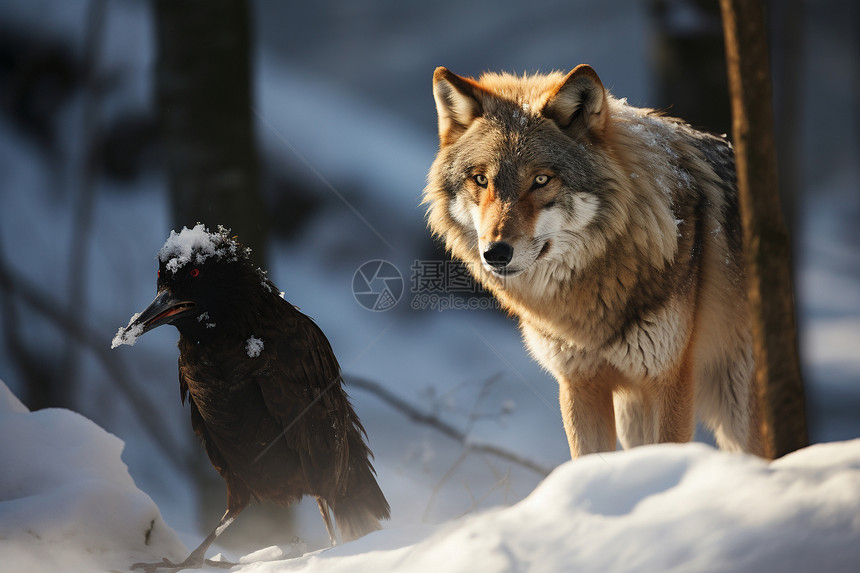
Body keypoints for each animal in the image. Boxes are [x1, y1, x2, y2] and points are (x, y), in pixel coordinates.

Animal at [426, 66, 764, 460]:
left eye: (541, 179)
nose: (495, 252)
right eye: (481, 180)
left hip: (735, 409)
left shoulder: (670, 381)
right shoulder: (580, 384)